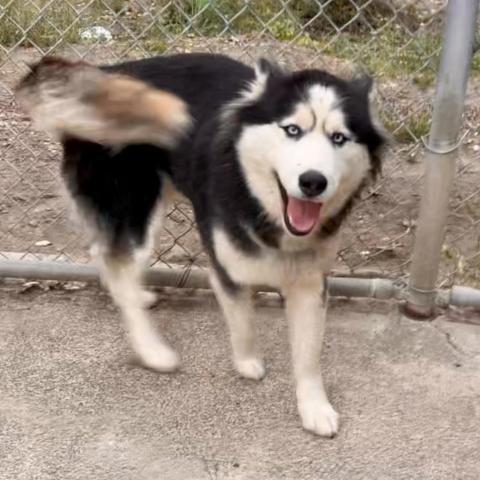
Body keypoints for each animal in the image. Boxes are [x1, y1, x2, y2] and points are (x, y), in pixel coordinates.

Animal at [15, 52, 386, 436]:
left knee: (106, 256)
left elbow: (309, 353)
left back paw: (135, 297)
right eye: (292, 130)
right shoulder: (226, 266)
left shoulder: (311, 282)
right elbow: (242, 320)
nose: (313, 181)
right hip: (134, 209)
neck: (259, 205)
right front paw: (248, 362)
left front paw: (314, 407)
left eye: (339, 137)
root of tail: (104, 72)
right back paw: (152, 350)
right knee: (119, 264)